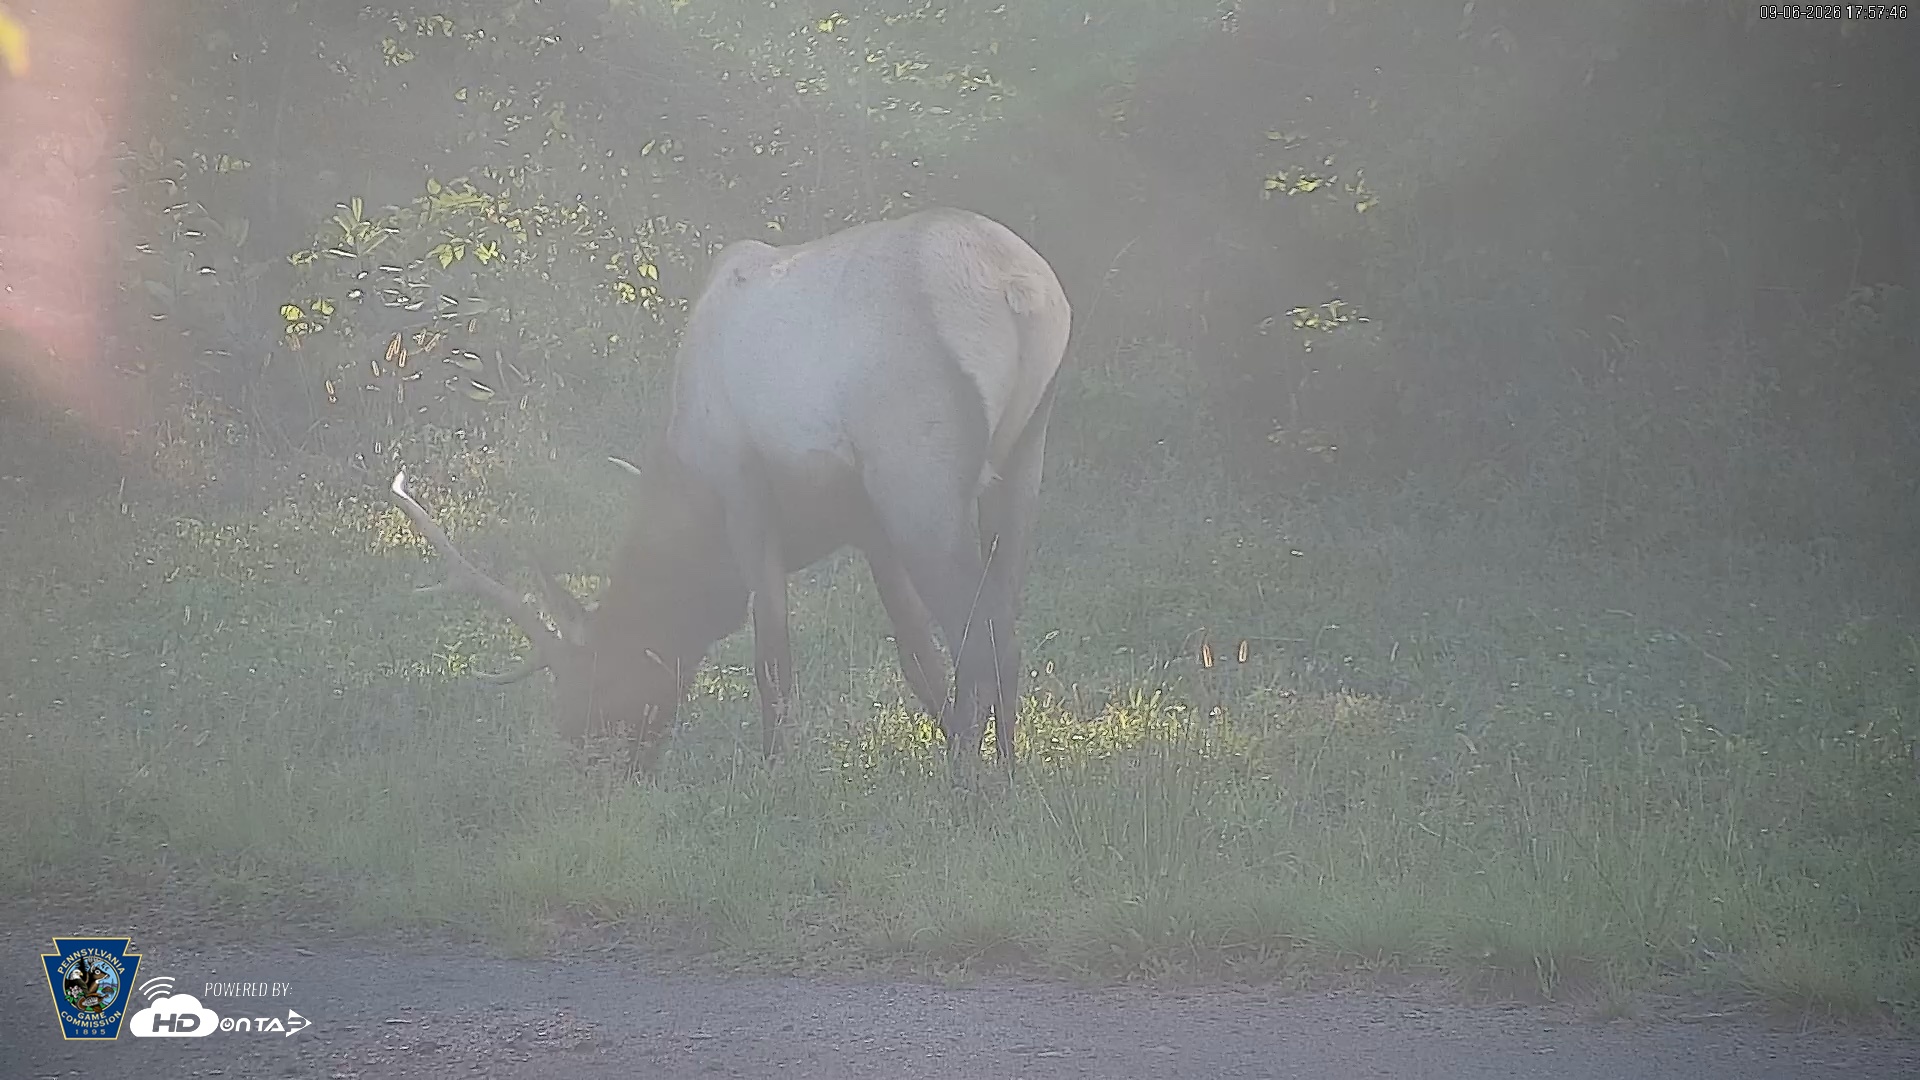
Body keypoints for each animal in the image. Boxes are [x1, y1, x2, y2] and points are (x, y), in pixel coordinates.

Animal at [389, 208, 1071, 775]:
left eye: (592, 678)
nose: (588, 762)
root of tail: (1021, 289)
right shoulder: (867, 526)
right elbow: (916, 656)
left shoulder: (746, 491)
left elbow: (772, 657)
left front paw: (772, 772)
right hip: (1025, 454)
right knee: (1004, 624)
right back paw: (1007, 769)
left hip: (919, 476)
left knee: (981, 638)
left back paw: (969, 783)